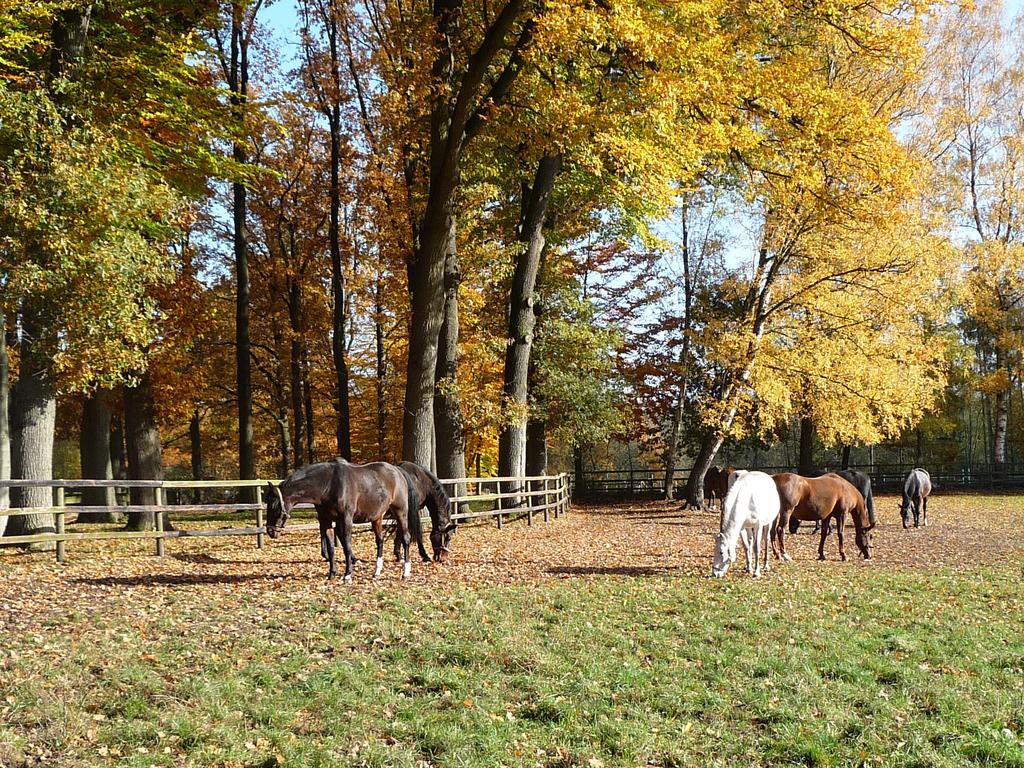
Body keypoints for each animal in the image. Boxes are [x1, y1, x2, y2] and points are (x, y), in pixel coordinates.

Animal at [268, 460, 419, 581]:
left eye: (275, 505)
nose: (270, 531)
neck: (329, 485)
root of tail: (398, 471)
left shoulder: (346, 519)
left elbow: (347, 545)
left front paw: (347, 574)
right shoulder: (326, 521)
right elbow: (331, 547)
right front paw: (332, 574)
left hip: (400, 512)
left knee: (406, 538)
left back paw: (405, 573)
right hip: (377, 517)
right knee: (380, 540)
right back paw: (377, 572)